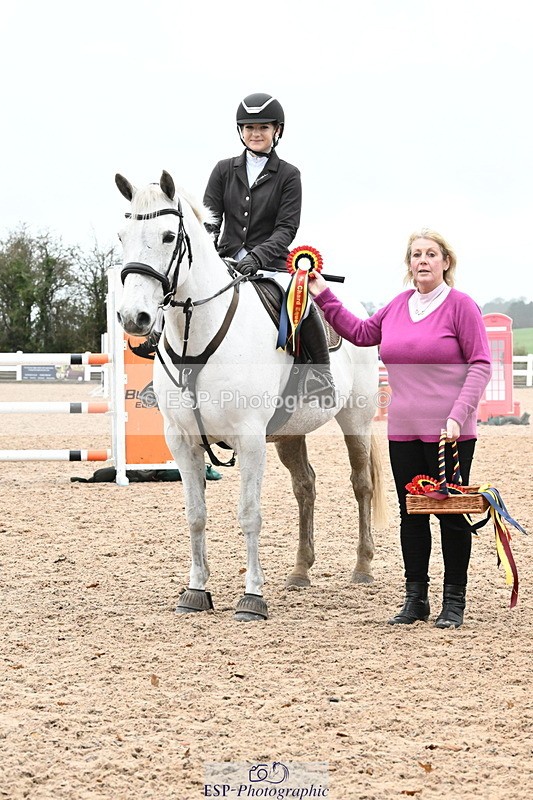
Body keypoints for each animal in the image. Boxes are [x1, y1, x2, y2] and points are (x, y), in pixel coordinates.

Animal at [115, 170, 387, 620]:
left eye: (169, 236)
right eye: (122, 236)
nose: (133, 317)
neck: (198, 337)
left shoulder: (250, 438)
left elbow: (249, 515)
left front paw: (253, 597)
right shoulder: (182, 440)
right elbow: (195, 515)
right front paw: (195, 591)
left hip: (356, 420)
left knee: (360, 484)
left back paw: (363, 567)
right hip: (290, 433)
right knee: (305, 487)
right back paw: (300, 571)